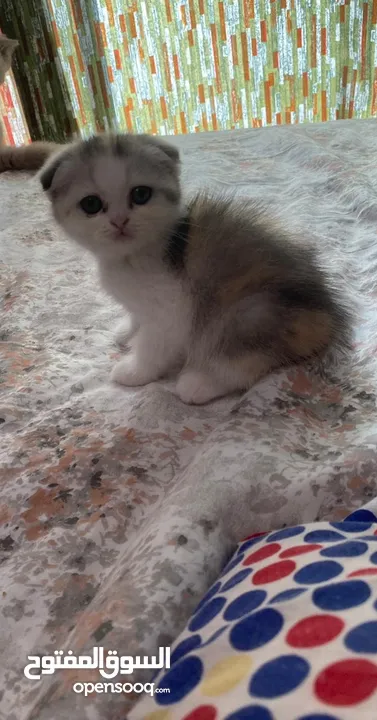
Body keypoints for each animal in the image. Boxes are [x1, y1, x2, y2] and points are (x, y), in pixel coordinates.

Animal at [39, 135, 352, 404]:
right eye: (91, 204)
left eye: (140, 195)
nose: (119, 221)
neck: (130, 257)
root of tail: (326, 313)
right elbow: (137, 317)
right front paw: (127, 331)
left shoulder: (173, 308)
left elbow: (153, 346)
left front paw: (136, 371)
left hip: (248, 312)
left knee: (244, 361)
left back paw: (200, 383)